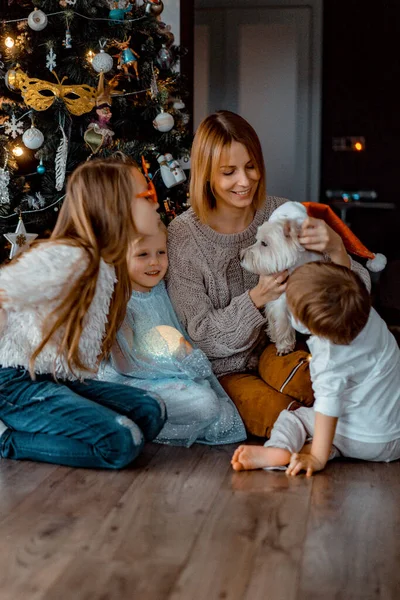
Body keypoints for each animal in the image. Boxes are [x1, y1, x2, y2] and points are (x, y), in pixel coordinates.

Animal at [241, 202, 322, 354]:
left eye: (264, 243)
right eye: (257, 240)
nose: (240, 256)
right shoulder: (280, 302)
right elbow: (282, 323)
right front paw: (285, 346)